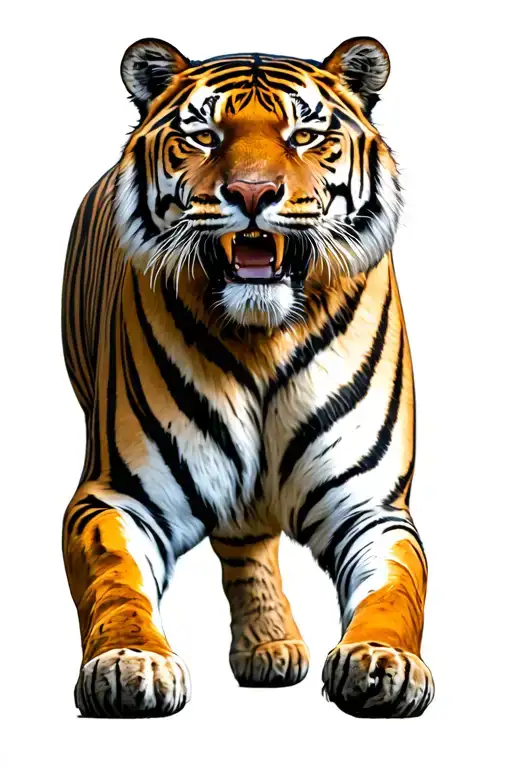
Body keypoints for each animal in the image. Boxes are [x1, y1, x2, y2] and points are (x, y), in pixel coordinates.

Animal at [62, 35, 434, 719]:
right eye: (204, 136)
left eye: (306, 135)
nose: (252, 193)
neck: (262, 335)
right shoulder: (119, 493)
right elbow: (116, 582)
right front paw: (130, 663)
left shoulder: (371, 505)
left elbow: (394, 590)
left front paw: (382, 663)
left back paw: (272, 646)